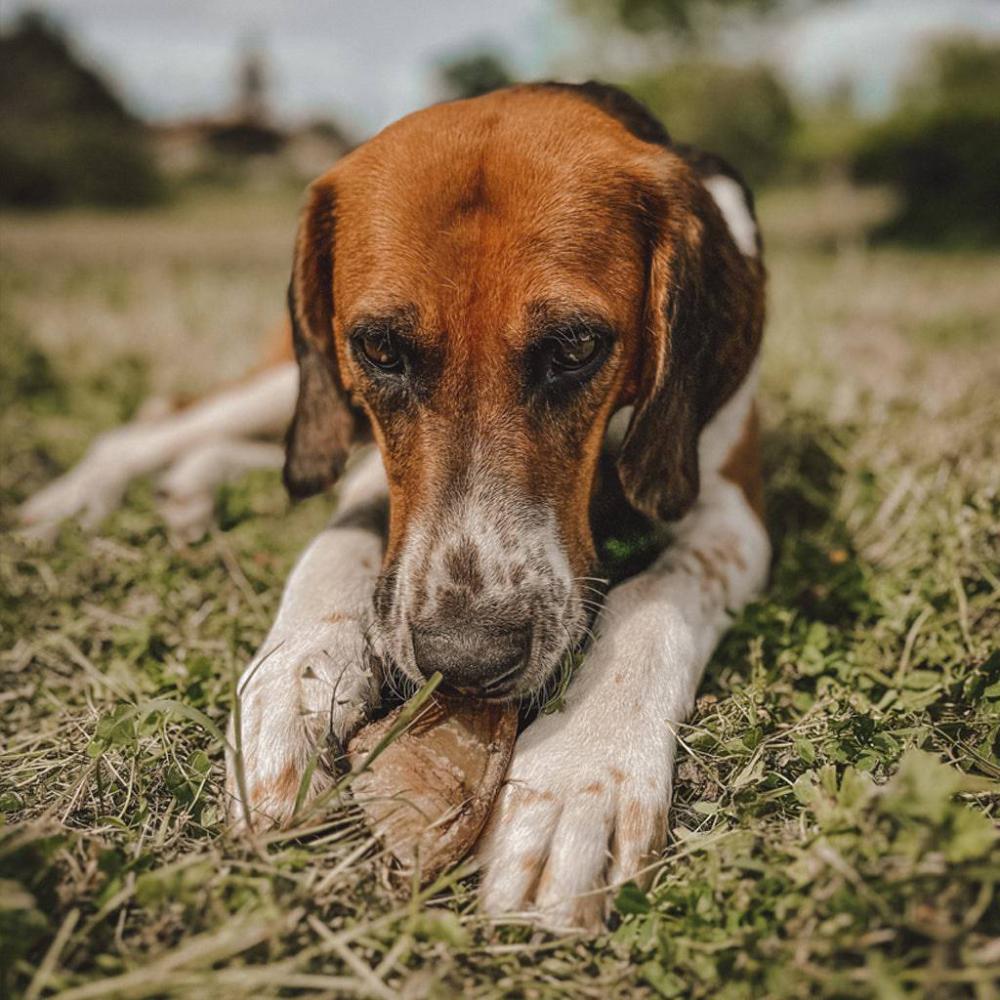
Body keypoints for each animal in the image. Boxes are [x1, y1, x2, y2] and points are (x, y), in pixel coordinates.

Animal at [19, 84, 768, 928]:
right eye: (380, 349)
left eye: (577, 348)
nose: (467, 660)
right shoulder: (371, 471)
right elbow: (335, 547)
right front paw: (291, 681)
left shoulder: (733, 510)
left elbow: (656, 595)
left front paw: (581, 772)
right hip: (293, 382)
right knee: (159, 426)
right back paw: (71, 503)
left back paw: (189, 494)